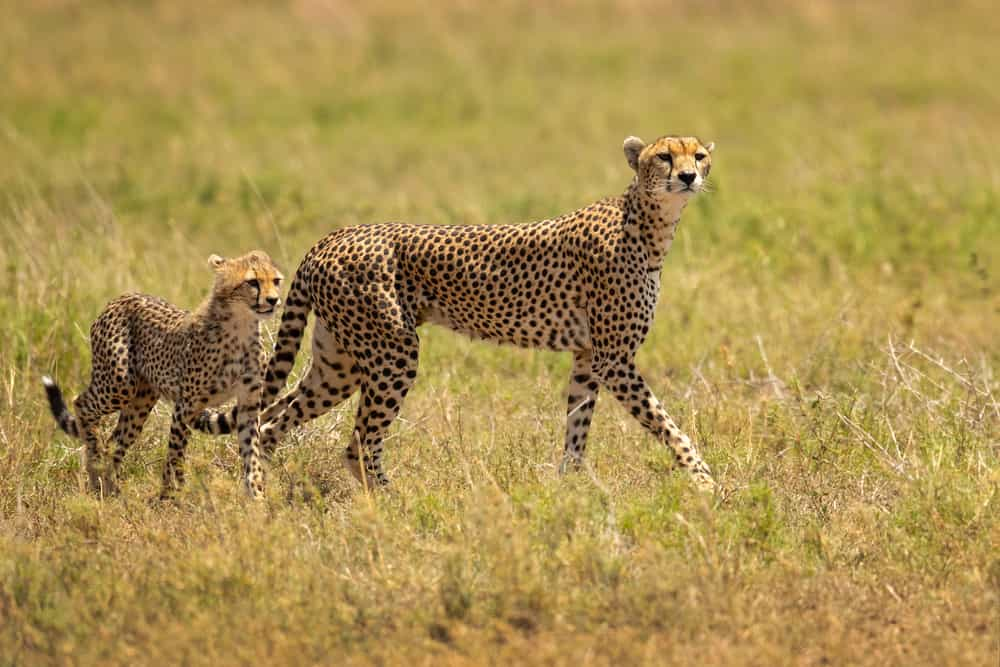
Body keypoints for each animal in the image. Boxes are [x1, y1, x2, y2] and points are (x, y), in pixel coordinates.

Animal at [42, 252, 282, 500]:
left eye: (276, 281)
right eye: (252, 282)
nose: (274, 300)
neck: (240, 326)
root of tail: (121, 297)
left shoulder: (248, 406)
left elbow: (252, 456)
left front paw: (257, 497)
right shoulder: (185, 407)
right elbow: (175, 456)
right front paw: (170, 498)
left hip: (141, 400)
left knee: (116, 440)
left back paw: (108, 486)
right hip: (120, 384)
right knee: (82, 404)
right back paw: (94, 464)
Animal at [201, 137, 720, 496]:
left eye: (698, 155)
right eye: (664, 157)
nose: (689, 176)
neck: (650, 223)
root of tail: (333, 236)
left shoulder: (589, 357)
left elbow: (577, 427)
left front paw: (571, 489)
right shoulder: (614, 359)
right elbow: (665, 423)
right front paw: (706, 482)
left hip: (339, 365)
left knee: (268, 424)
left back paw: (267, 496)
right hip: (393, 352)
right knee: (358, 441)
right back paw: (394, 503)